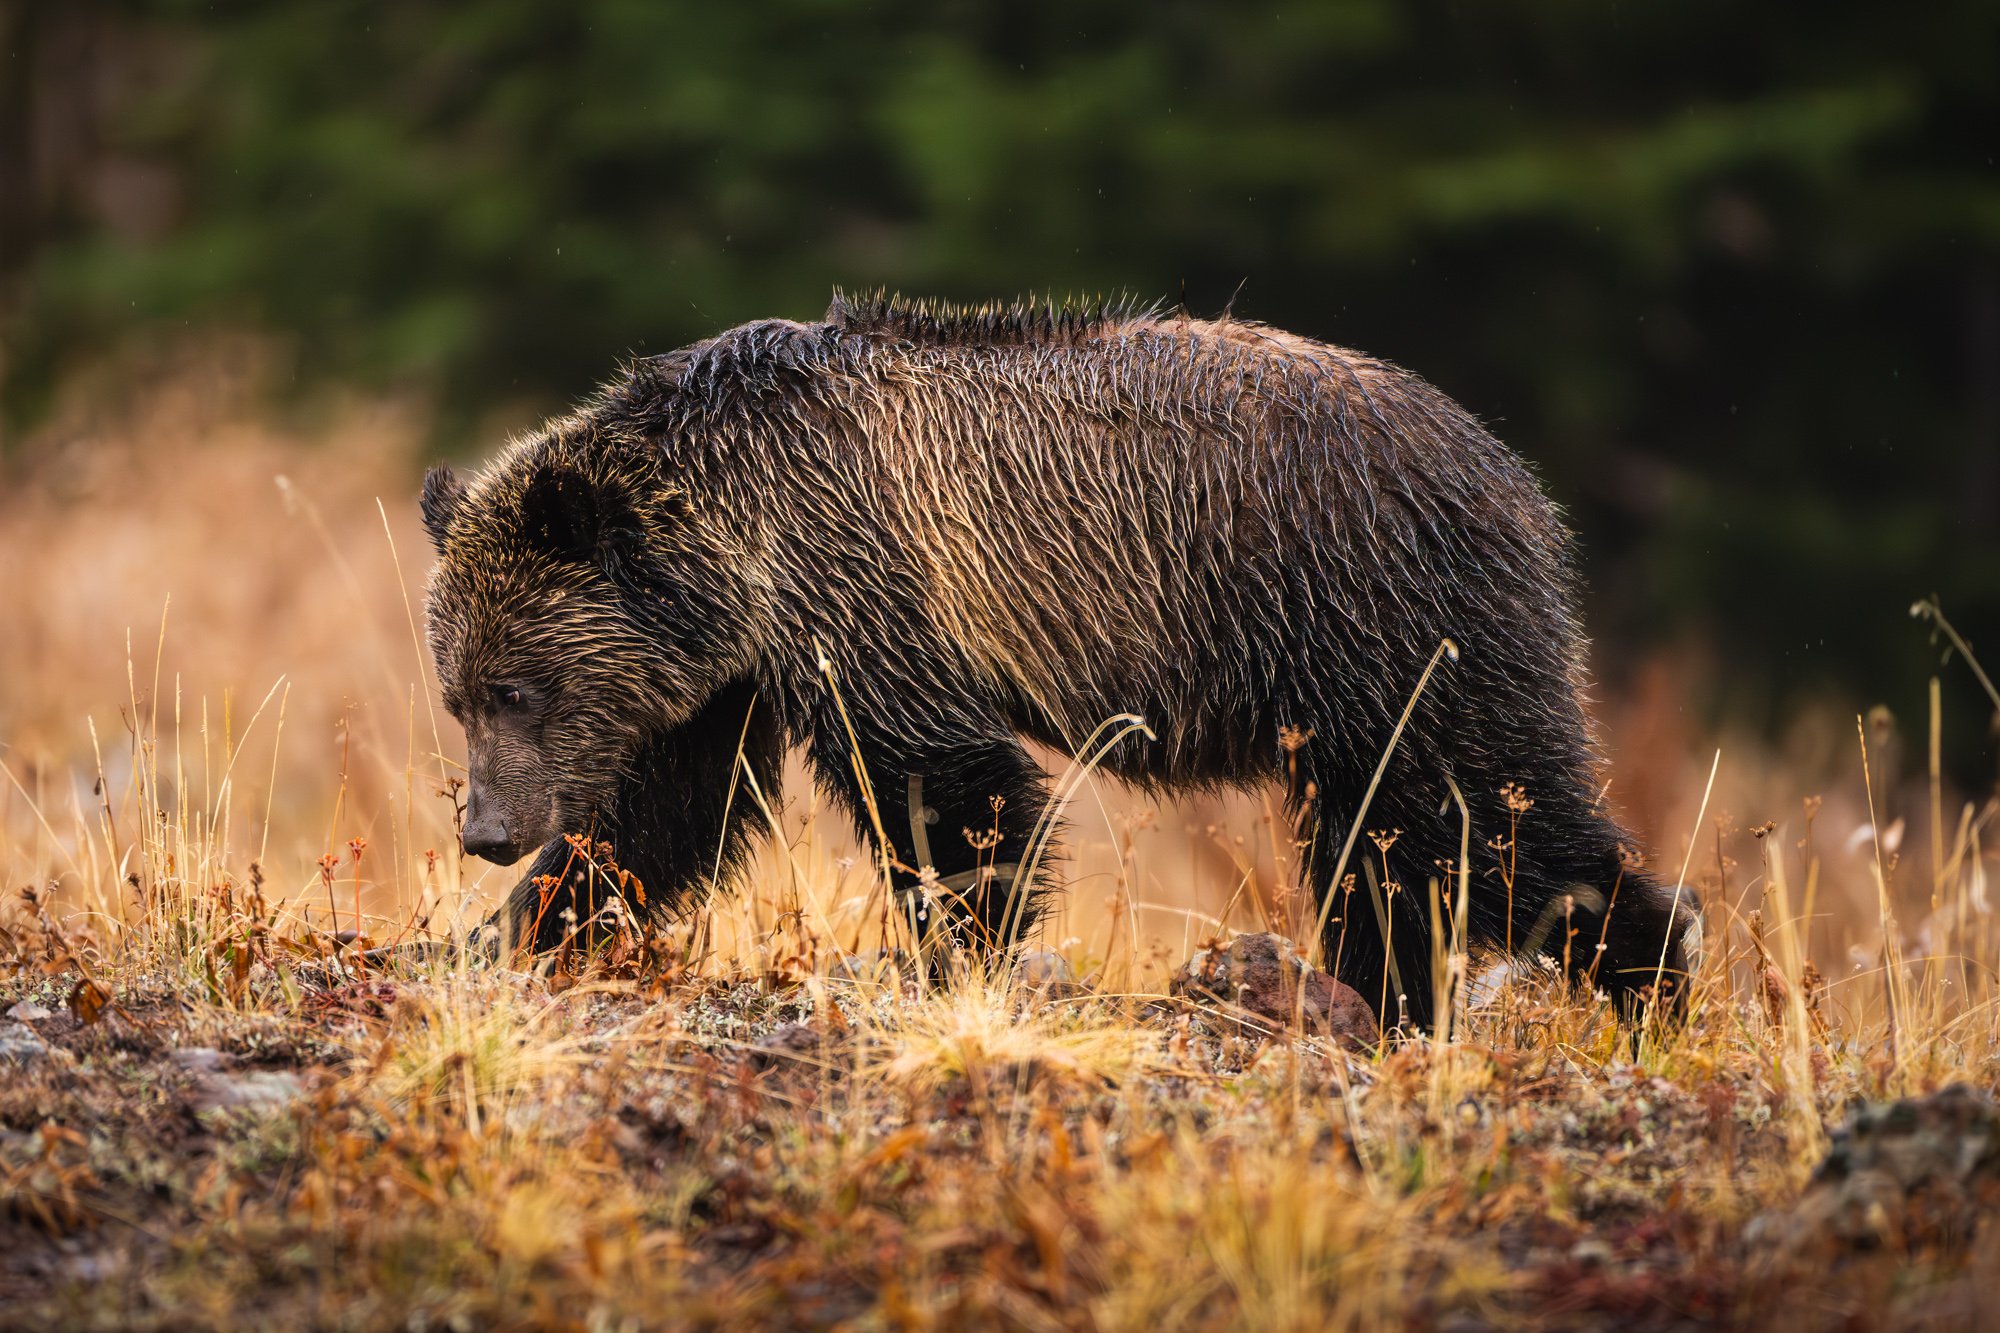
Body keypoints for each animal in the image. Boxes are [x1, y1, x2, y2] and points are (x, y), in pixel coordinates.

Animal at [419, 293, 1699, 1027]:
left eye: (515, 687)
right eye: (458, 696)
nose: (486, 830)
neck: (735, 540)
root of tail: (1511, 472)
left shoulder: (863, 589)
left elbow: (948, 789)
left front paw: (954, 959)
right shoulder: (725, 674)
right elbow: (658, 821)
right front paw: (507, 933)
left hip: (1389, 624)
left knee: (1485, 818)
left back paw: (1656, 977)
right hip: (1351, 692)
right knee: (1380, 853)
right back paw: (1380, 1000)